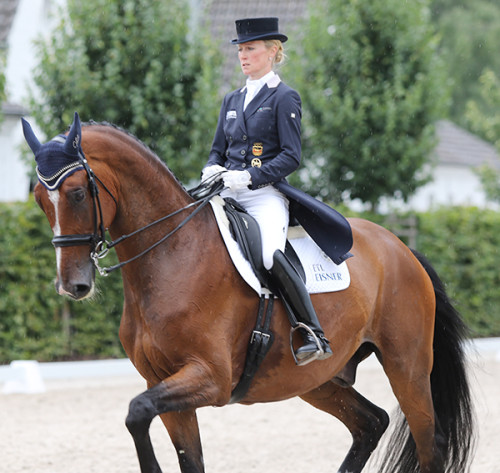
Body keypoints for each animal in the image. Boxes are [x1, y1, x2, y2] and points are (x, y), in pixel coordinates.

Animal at [24, 115, 476, 472]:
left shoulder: (212, 378)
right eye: (39, 198)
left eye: (77, 193)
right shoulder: (163, 383)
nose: (73, 285)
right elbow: (178, 449)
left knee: (429, 444)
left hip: (407, 366)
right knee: (371, 423)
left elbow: (137, 412)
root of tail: (401, 248)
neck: (172, 256)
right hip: (316, 379)